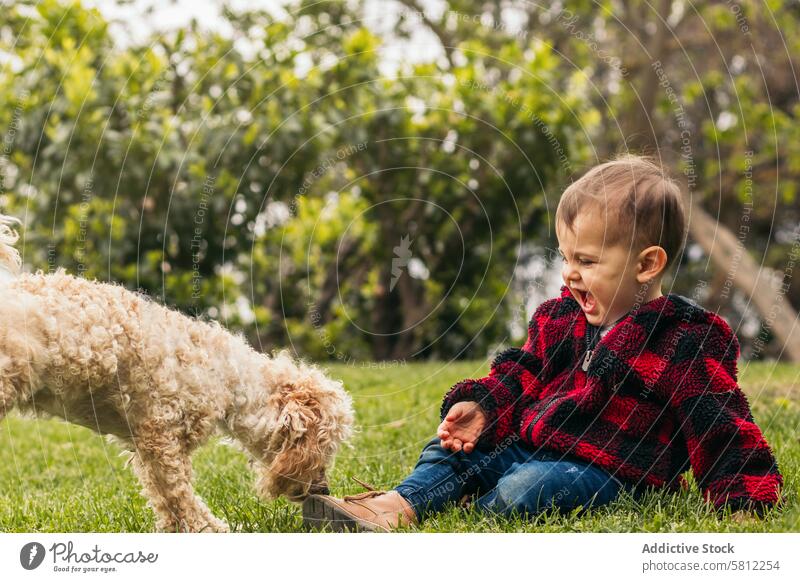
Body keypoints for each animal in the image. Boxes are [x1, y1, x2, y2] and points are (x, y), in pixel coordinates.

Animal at [0, 214, 350, 532]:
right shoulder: (160, 436)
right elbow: (179, 494)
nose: (324, 490)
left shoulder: (144, 444)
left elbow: (164, 500)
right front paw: (209, 529)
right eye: (324, 448)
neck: (227, 378)